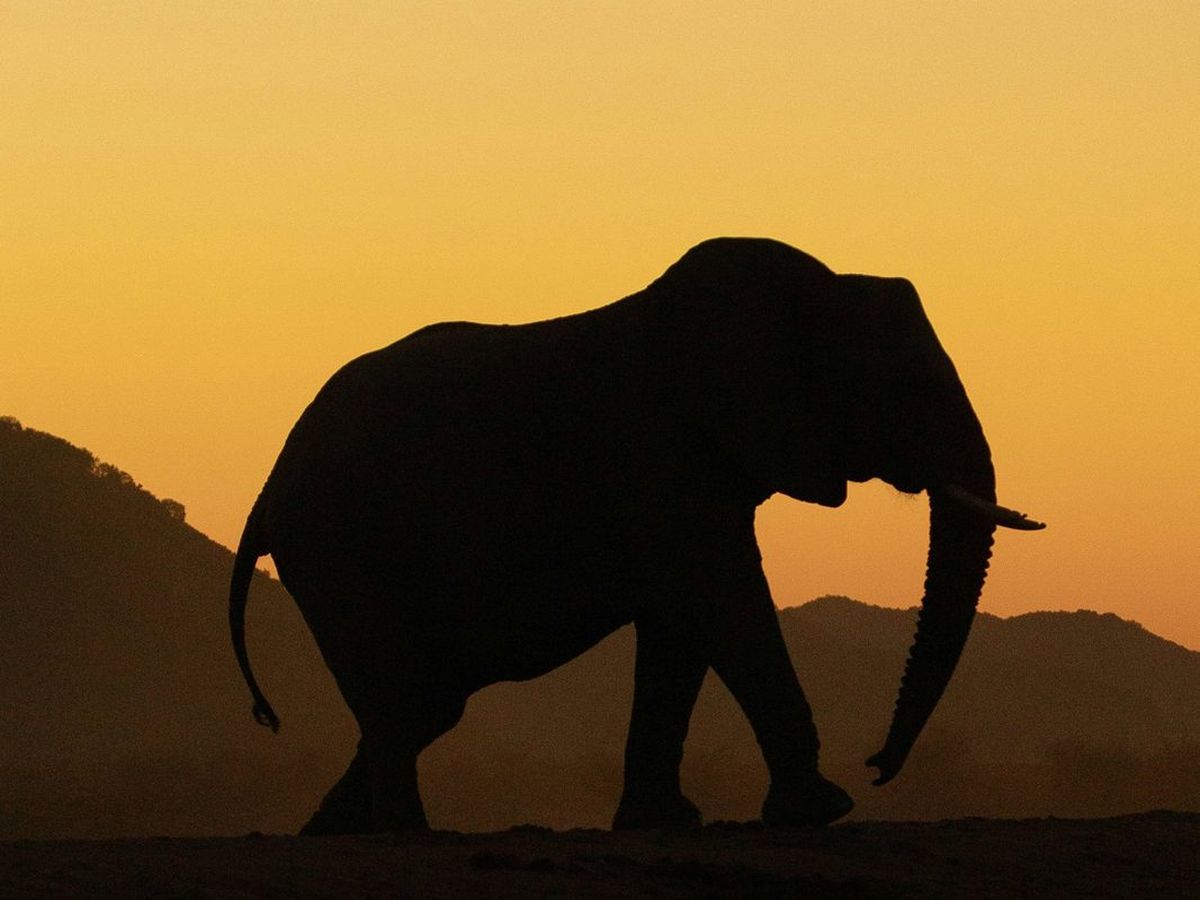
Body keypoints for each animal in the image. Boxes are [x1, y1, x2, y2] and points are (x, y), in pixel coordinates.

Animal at [229, 237, 1044, 835]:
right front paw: (824, 810)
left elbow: (679, 630)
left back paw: (332, 834)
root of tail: (266, 490)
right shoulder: (659, 460)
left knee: (426, 701)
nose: (877, 765)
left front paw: (666, 824)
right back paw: (411, 838)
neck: (809, 288)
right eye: (910, 386)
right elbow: (724, 602)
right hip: (342, 550)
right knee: (403, 698)